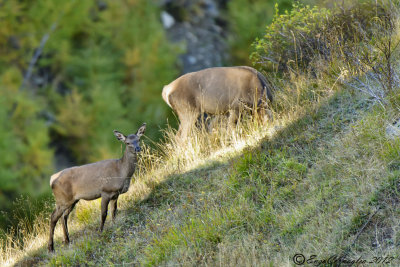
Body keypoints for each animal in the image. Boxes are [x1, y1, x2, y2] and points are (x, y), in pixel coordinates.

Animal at [47, 123, 146, 253]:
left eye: (138, 139)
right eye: (127, 143)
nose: (138, 149)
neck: (121, 172)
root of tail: (51, 179)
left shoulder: (115, 194)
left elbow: (114, 211)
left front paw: (114, 225)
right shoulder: (106, 191)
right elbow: (103, 213)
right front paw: (100, 231)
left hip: (72, 200)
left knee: (64, 217)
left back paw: (67, 241)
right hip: (62, 199)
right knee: (53, 217)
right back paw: (51, 247)